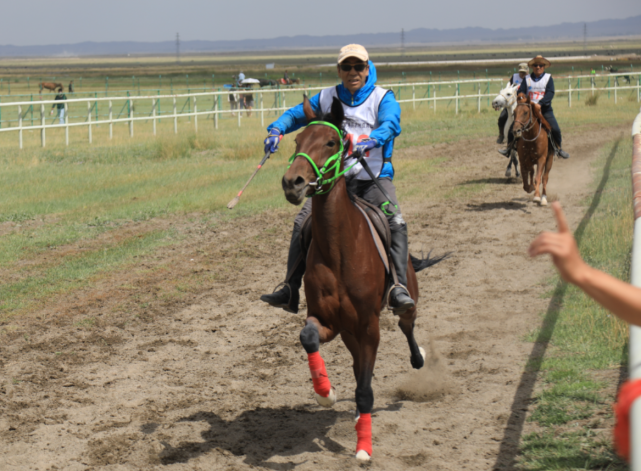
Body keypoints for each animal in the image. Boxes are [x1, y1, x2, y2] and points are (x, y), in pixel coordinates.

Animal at [280, 96, 444, 460]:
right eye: (297, 141)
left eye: (331, 142)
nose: (292, 182)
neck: (340, 250)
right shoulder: (329, 321)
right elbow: (309, 339)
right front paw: (324, 392)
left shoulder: (370, 326)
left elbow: (367, 390)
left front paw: (364, 448)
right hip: (349, 331)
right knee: (357, 365)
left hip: (404, 300)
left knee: (407, 325)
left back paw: (418, 358)